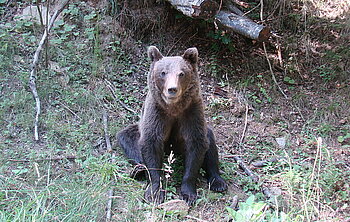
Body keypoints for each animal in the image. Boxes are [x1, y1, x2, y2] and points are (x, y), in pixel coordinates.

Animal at [117, 45, 227, 205]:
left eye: (181, 73)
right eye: (163, 73)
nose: (172, 89)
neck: (173, 108)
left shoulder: (191, 112)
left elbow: (196, 145)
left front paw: (188, 193)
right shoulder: (157, 113)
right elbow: (151, 143)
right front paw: (155, 192)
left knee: (210, 143)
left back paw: (218, 182)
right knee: (127, 138)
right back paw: (139, 169)